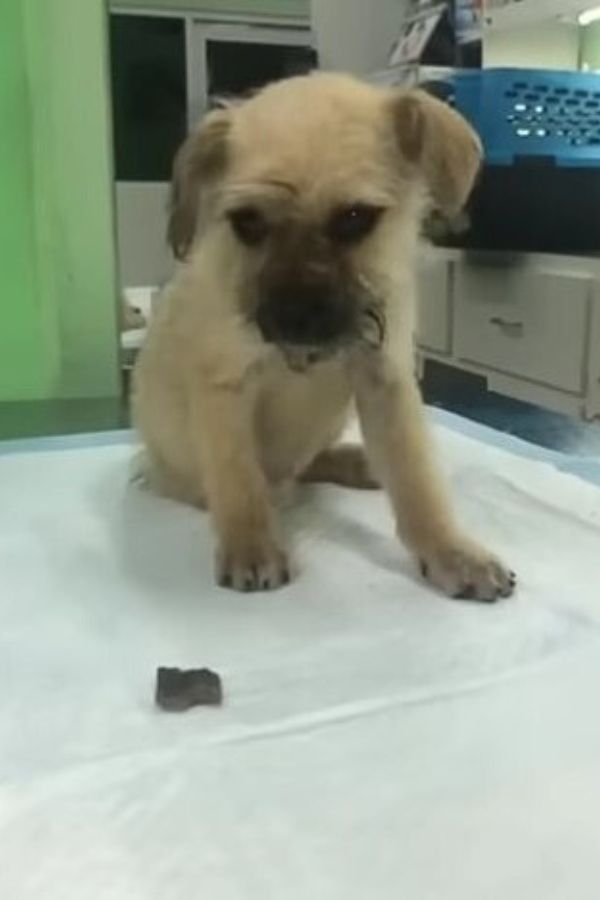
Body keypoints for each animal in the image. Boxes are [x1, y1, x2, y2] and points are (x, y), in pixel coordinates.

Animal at [135, 74, 516, 600]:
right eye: (247, 222)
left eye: (355, 218)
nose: (294, 318)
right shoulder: (224, 388)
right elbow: (239, 481)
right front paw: (250, 545)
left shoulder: (386, 383)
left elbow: (416, 479)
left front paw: (450, 550)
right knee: (270, 481)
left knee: (306, 464)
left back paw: (357, 462)